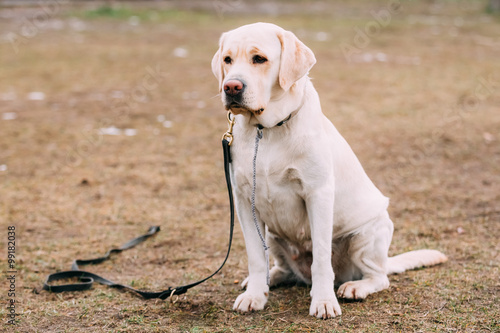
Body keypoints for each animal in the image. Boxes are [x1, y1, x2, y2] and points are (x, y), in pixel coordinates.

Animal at [213, 22, 448, 318]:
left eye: (259, 59)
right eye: (227, 60)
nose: (231, 86)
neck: (267, 130)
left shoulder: (318, 193)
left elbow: (322, 257)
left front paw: (323, 301)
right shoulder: (244, 200)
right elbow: (256, 256)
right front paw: (255, 295)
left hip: (367, 235)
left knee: (379, 277)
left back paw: (355, 287)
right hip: (274, 236)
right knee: (280, 266)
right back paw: (272, 278)